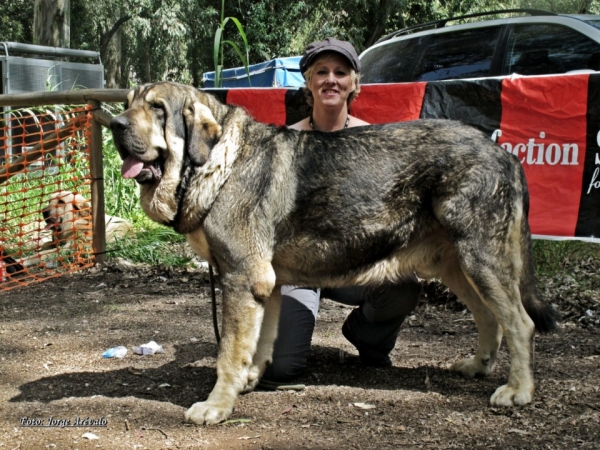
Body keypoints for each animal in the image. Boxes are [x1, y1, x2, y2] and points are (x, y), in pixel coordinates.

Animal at [111, 81, 556, 426]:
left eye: (157, 108)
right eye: (128, 102)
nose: (114, 124)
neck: (220, 160)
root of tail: (505, 155)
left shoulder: (242, 277)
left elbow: (229, 353)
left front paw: (217, 406)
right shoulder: (267, 285)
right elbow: (261, 343)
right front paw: (250, 380)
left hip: (480, 259)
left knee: (519, 322)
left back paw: (517, 390)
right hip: (456, 265)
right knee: (489, 317)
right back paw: (478, 366)